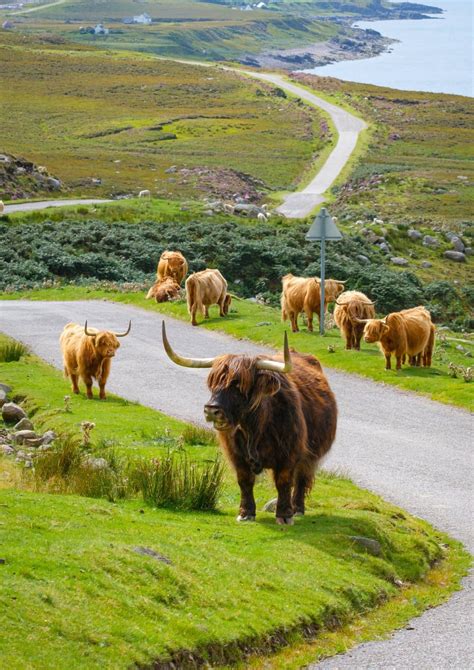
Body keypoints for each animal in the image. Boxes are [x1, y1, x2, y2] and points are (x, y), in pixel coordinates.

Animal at [162, 322, 337, 524]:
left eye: (238, 385)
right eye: (212, 383)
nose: (212, 410)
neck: (256, 428)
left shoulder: (290, 454)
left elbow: (284, 482)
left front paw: (285, 515)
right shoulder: (236, 455)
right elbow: (244, 480)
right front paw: (246, 513)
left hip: (311, 454)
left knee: (302, 477)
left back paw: (298, 508)